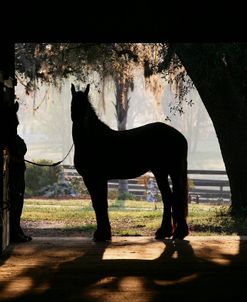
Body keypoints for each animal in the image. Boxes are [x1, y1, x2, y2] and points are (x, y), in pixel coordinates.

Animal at [71, 82, 189, 241]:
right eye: (73, 104)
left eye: (86, 106)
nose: (81, 124)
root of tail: (180, 136)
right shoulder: (94, 179)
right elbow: (99, 204)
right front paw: (104, 233)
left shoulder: (96, 178)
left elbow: (100, 204)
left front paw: (102, 234)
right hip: (161, 172)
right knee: (168, 198)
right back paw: (164, 232)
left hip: (172, 171)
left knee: (174, 198)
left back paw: (177, 233)